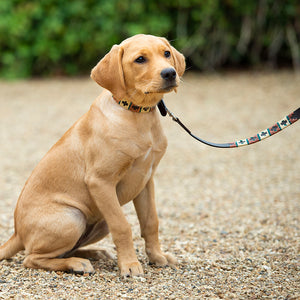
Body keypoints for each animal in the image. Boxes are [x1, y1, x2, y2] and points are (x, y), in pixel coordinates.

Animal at [0, 34, 185, 276]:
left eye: (166, 53)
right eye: (140, 59)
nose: (170, 73)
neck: (136, 113)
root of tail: (17, 233)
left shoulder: (146, 180)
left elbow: (150, 222)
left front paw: (157, 257)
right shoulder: (100, 181)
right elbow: (123, 226)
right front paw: (130, 265)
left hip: (99, 221)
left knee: (62, 251)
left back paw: (94, 253)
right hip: (72, 218)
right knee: (32, 258)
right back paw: (77, 263)